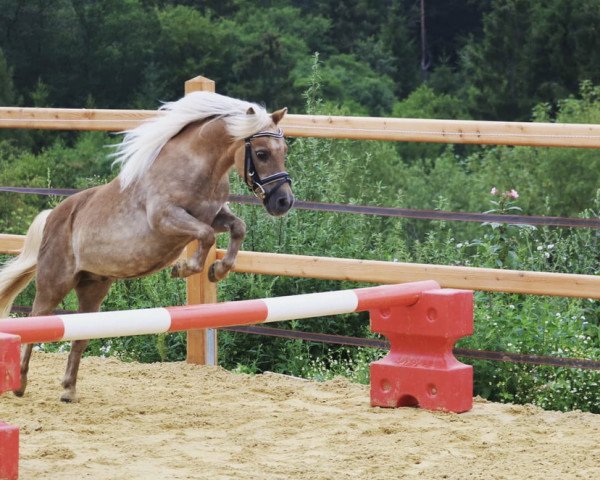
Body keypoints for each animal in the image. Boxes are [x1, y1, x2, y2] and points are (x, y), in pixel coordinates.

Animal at [0, 90, 292, 402]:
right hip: (55, 283)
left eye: (284, 151)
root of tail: (51, 216)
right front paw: (184, 268)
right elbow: (206, 236)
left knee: (79, 335)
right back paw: (20, 384)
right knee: (36, 321)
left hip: (93, 287)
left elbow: (238, 227)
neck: (198, 166)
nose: (284, 202)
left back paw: (68, 390)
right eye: (261, 154)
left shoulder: (213, 215)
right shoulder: (166, 218)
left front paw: (218, 270)